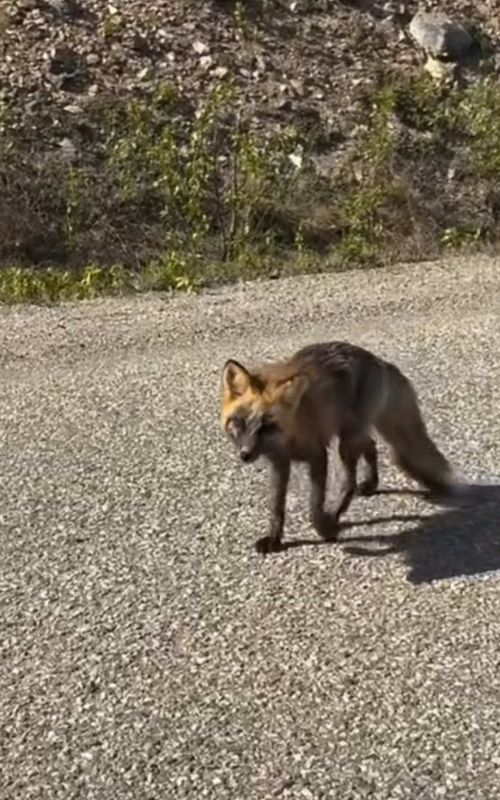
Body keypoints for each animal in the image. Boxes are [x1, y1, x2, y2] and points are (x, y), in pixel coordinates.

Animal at [220, 340, 455, 554]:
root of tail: (378, 360)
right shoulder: (279, 462)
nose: (245, 454)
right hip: (350, 435)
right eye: (239, 422)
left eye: (267, 426)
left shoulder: (318, 455)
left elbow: (315, 505)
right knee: (371, 445)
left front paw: (324, 529)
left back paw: (336, 514)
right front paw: (274, 538)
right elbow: (276, 506)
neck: (290, 437)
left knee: (349, 481)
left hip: (346, 442)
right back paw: (371, 483)